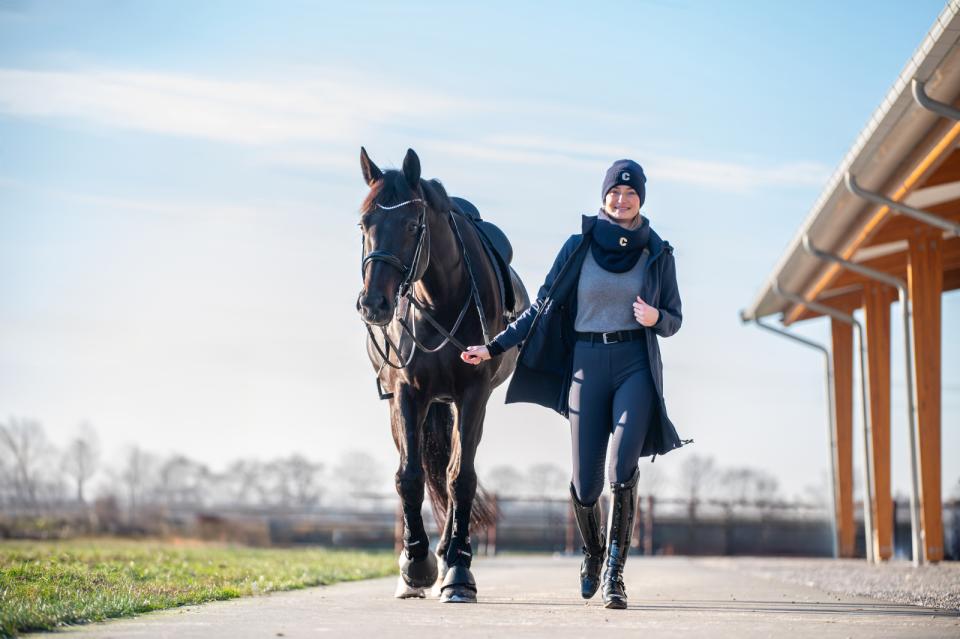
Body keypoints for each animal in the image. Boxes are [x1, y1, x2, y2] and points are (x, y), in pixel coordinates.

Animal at [356, 148, 528, 604]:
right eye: (364, 223)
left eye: (412, 224)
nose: (374, 304)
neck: (440, 301)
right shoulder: (406, 394)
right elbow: (409, 476)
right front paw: (415, 566)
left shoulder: (473, 395)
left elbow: (460, 479)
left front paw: (459, 570)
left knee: (454, 471)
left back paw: (450, 552)